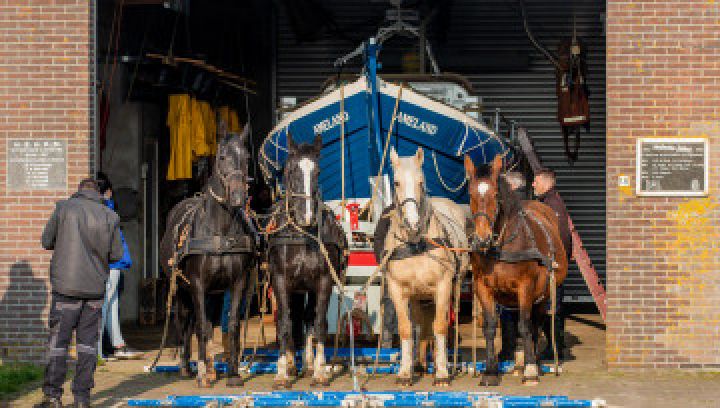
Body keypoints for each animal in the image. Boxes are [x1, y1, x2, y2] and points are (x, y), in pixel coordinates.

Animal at [158, 129, 256, 388]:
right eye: (222, 157)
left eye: (247, 157)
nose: (238, 196)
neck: (219, 230)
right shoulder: (197, 284)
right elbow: (200, 327)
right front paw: (201, 374)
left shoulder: (237, 283)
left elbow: (231, 325)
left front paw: (233, 374)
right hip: (182, 290)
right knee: (186, 323)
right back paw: (188, 368)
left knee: (207, 324)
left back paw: (210, 368)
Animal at [268, 135, 350, 388]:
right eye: (290, 170)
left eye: (318, 171)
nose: (307, 216)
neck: (302, 235)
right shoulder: (280, 281)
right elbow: (285, 323)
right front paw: (281, 373)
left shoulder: (323, 282)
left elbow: (319, 323)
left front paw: (320, 371)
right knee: (292, 318)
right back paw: (291, 365)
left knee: (307, 318)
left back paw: (309, 364)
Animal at [466, 155, 568, 386]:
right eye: (471, 194)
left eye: (496, 194)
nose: (482, 239)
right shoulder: (482, 287)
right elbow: (490, 326)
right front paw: (491, 371)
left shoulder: (526, 286)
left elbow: (524, 325)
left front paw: (530, 370)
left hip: (543, 294)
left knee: (535, 323)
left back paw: (534, 362)